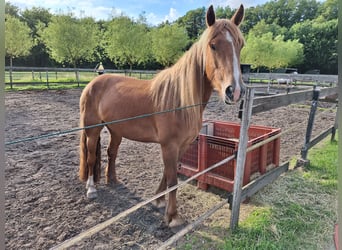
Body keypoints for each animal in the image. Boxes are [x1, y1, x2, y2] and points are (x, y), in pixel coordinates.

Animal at [79, 4, 246, 228]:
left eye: (240, 45)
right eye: (213, 45)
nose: (234, 91)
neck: (180, 99)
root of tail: (93, 83)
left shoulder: (182, 145)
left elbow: (168, 173)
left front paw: (158, 201)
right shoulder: (169, 145)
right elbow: (173, 179)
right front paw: (172, 216)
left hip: (116, 130)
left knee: (111, 152)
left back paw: (112, 179)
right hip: (93, 130)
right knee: (90, 157)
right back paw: (91, 189)